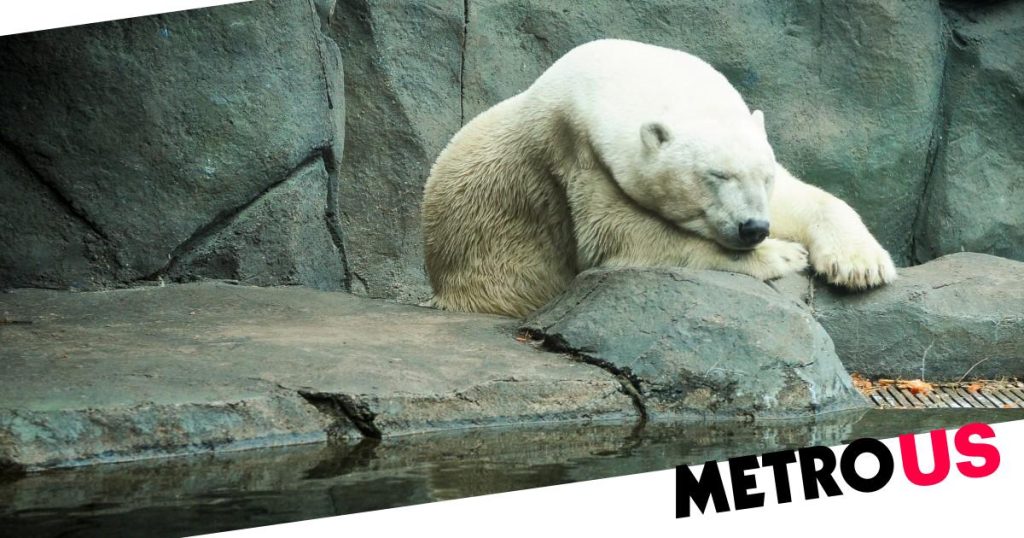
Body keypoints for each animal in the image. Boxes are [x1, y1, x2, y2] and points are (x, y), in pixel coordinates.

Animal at [422, 39, 897, 318]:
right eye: (715, 174)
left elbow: (800, 199)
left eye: (765, 177)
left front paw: (861, 264)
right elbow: (619, 237)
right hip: (488, 273)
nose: (753, 228)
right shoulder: (576, 149)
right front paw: (784, 254)